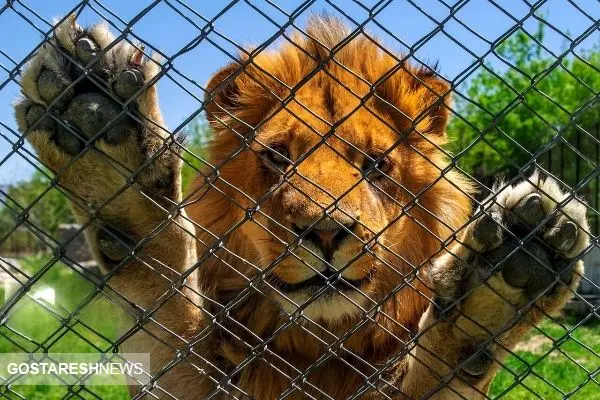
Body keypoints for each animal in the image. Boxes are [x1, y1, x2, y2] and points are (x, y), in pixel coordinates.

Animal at [15, 14, 592, 398]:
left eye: (375, 164)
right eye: (277, 156)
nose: (327, 232)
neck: (319, 347)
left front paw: (504, 276)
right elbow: (168, 297)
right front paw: (98, 124)